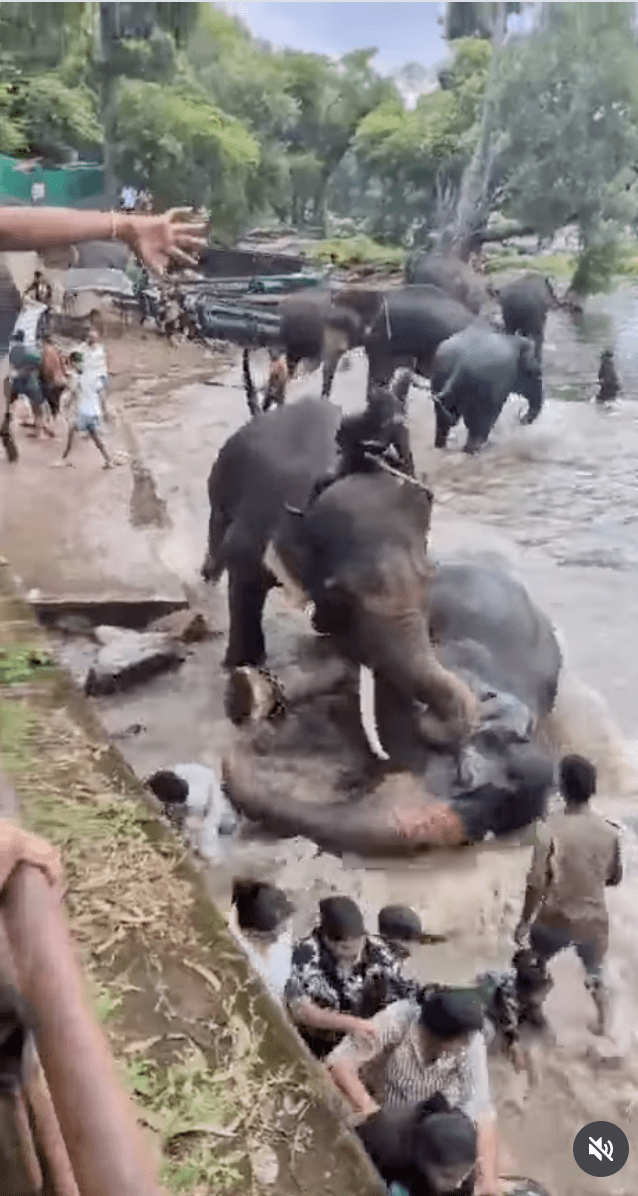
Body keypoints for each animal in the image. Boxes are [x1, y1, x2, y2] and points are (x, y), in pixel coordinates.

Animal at [201, 395, 478, 752]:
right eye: (342, 592)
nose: (427, 719)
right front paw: (239, 666)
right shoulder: (253, 532)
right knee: (216, 536)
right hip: (220, 483)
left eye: (430, 578)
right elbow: (244, 583)